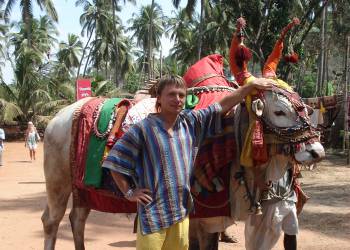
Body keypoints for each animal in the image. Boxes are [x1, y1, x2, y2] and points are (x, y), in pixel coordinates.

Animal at [41, 17, 326, 250]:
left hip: (83, 190)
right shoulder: (204, 217)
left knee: (77, 219)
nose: (316, 151)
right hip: (58, 185)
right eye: (279, 111)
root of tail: (60, 116)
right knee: (51, 221)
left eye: (303, 106)